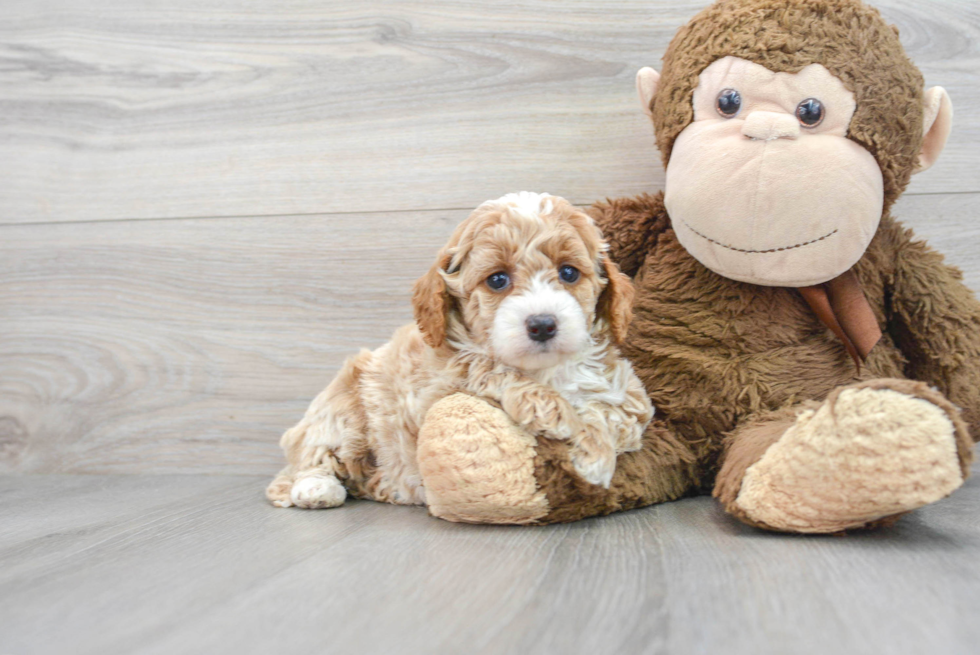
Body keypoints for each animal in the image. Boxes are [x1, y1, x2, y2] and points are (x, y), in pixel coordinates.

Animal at [264, 192, 656, 510]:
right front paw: (550, 409)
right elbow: (485, 366)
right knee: (306, 461)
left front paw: (594, 456)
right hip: (342, 410)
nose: (543, 324)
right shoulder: (437, 383)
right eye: (497, 279)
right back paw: (316, 489)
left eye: (569, 273)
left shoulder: (631, 396)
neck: (545, 370)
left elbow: (615, 414)